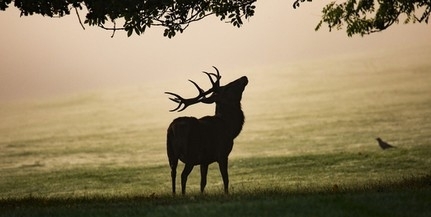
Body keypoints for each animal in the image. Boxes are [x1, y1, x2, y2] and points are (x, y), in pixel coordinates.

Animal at [165, 66, 248, 195]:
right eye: (227, 87)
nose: (244, 77)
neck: (230, 128)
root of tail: (172, 129)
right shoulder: (222, 153)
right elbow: (226, 178)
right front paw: (226, 194)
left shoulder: (204, 160)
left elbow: (203, 182)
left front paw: (202, 194)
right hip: (190, 153)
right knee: (183, 175)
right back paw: (183, 194)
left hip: (170, 153)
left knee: (173, 173)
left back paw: (174, 194)